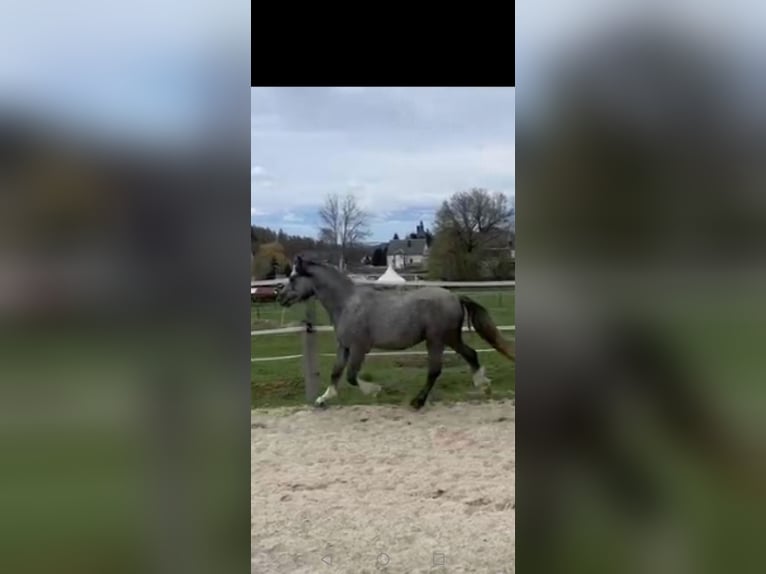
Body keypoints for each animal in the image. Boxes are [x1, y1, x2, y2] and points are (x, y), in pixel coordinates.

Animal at [276, 255, 516, 410]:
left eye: (293, 278)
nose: (281, 298)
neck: (347, 303)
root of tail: (455, 297)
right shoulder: (343, 346)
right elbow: (336, 373)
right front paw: (323, 400)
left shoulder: (359, 348)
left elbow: (352, 376)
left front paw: (374, 391)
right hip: (451, 338)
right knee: (470, 354)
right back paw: (484, 386)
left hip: (436, 339)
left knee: (435, 370)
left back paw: (418, 402)